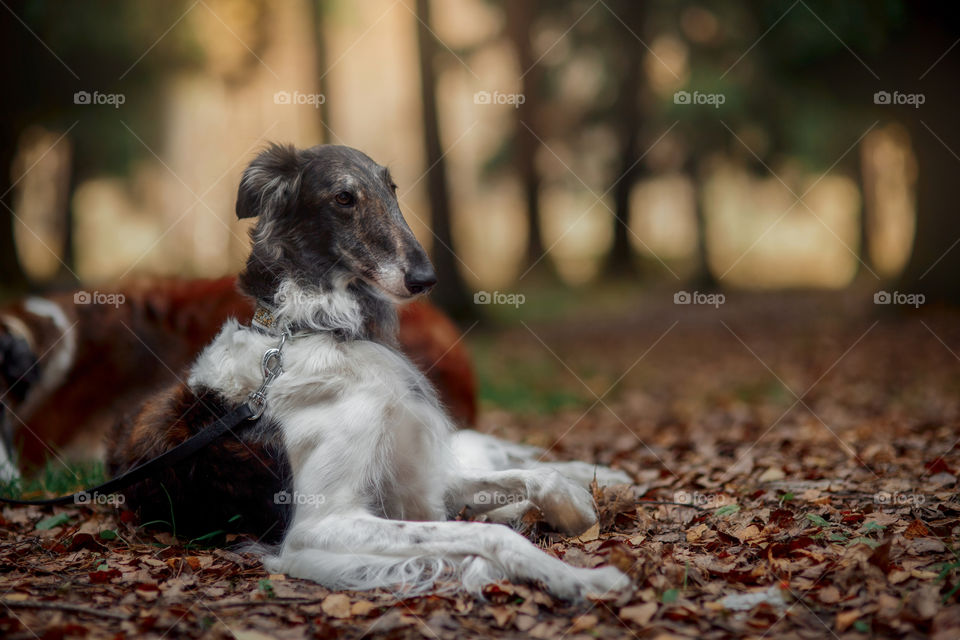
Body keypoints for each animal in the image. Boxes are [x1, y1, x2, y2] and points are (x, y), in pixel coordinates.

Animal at [107, 144, 632, 600]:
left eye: (392, 188)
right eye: (344, 197)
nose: (424, 279)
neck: (319, 332)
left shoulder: (414, 480)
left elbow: (537, 476)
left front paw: (578, 509)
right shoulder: (320, 527)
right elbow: (488, 536)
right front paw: (580, 578)